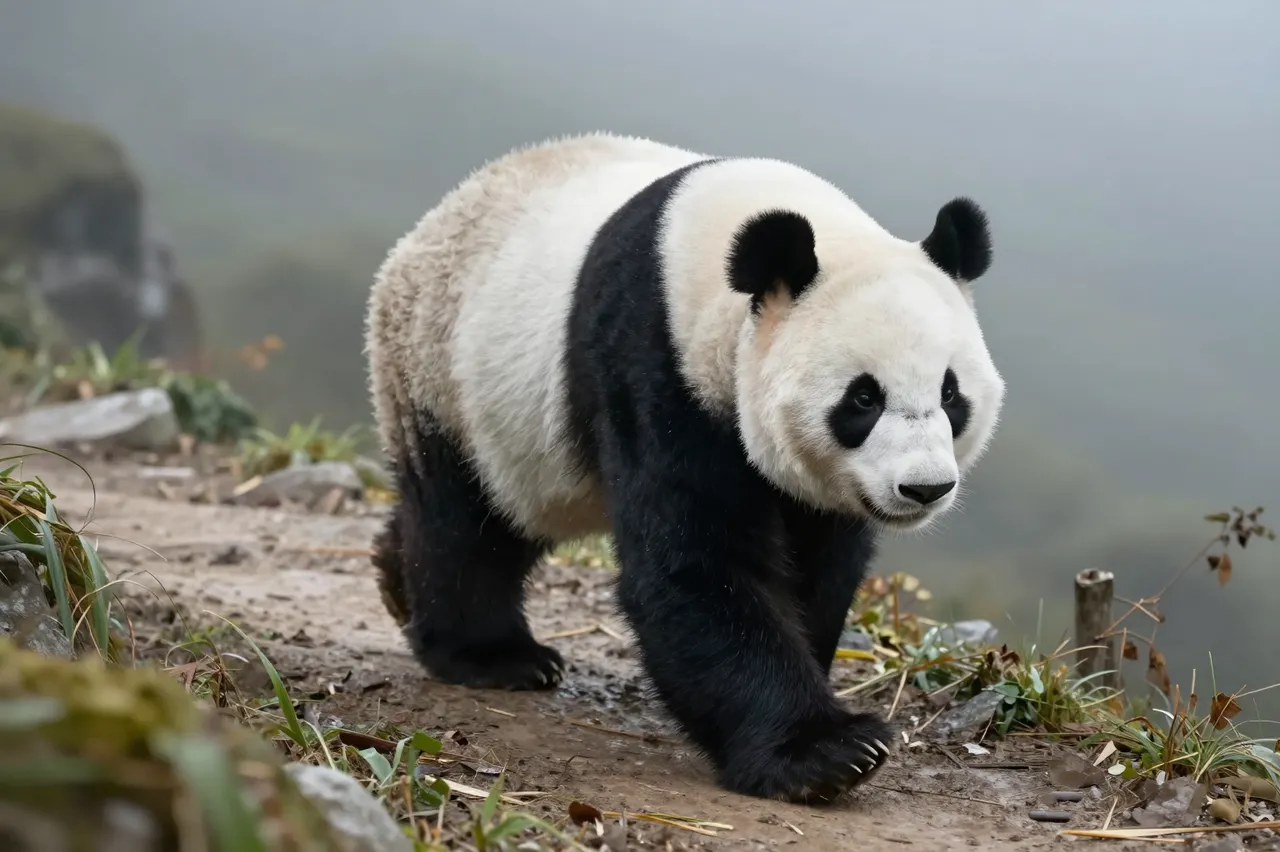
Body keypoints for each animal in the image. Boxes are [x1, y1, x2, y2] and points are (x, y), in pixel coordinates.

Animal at [364, 132, 1005, 804]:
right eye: (863, 398)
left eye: (951, 394)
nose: (924, 487)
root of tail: (419, 235)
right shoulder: (653, 363)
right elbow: (695, 565)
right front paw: (829, 753)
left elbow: (818, 564)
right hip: (446, 376)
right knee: (465, 522)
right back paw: (493, 655)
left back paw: (395, 581)